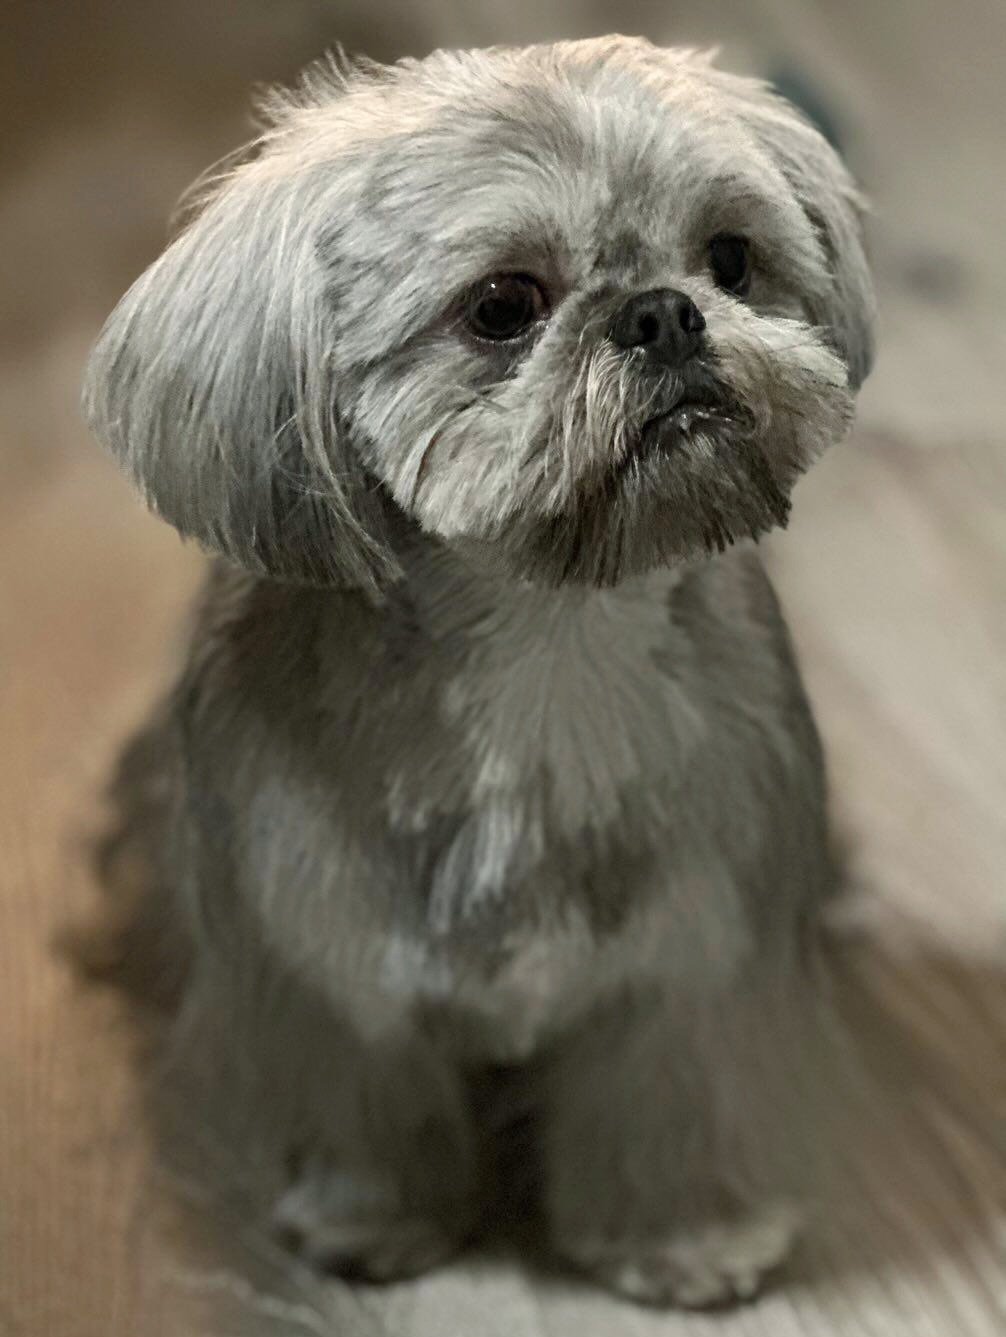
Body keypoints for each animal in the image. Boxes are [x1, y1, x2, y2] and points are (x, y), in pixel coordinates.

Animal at [83, 36, 873, 1308]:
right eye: (503, 307)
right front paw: (376, 1218)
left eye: (730, 258)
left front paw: (683, 1233)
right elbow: (366, 1094)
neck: (550, 650)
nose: (662, 313)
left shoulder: (697, 949)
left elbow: (670, 1095)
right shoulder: (323, 953)